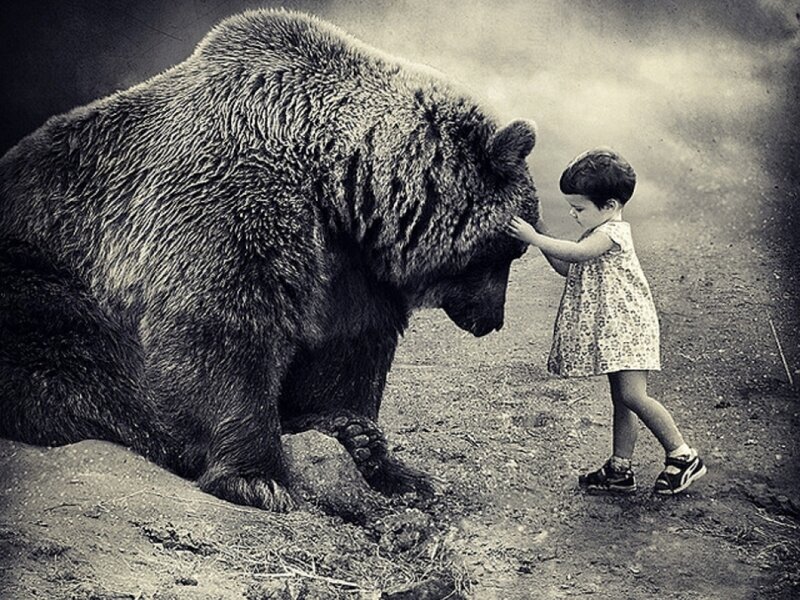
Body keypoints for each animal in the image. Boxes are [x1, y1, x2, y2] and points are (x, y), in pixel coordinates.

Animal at [0, 9, 539, 511]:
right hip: (44, 271)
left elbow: (349, 351)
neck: (336, 180)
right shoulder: (229, 196)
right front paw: (258, 478)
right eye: (511, 249)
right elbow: (224, 326)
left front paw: (377, 453)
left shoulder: (349, 265)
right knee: (84, 360)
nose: (492, 320)